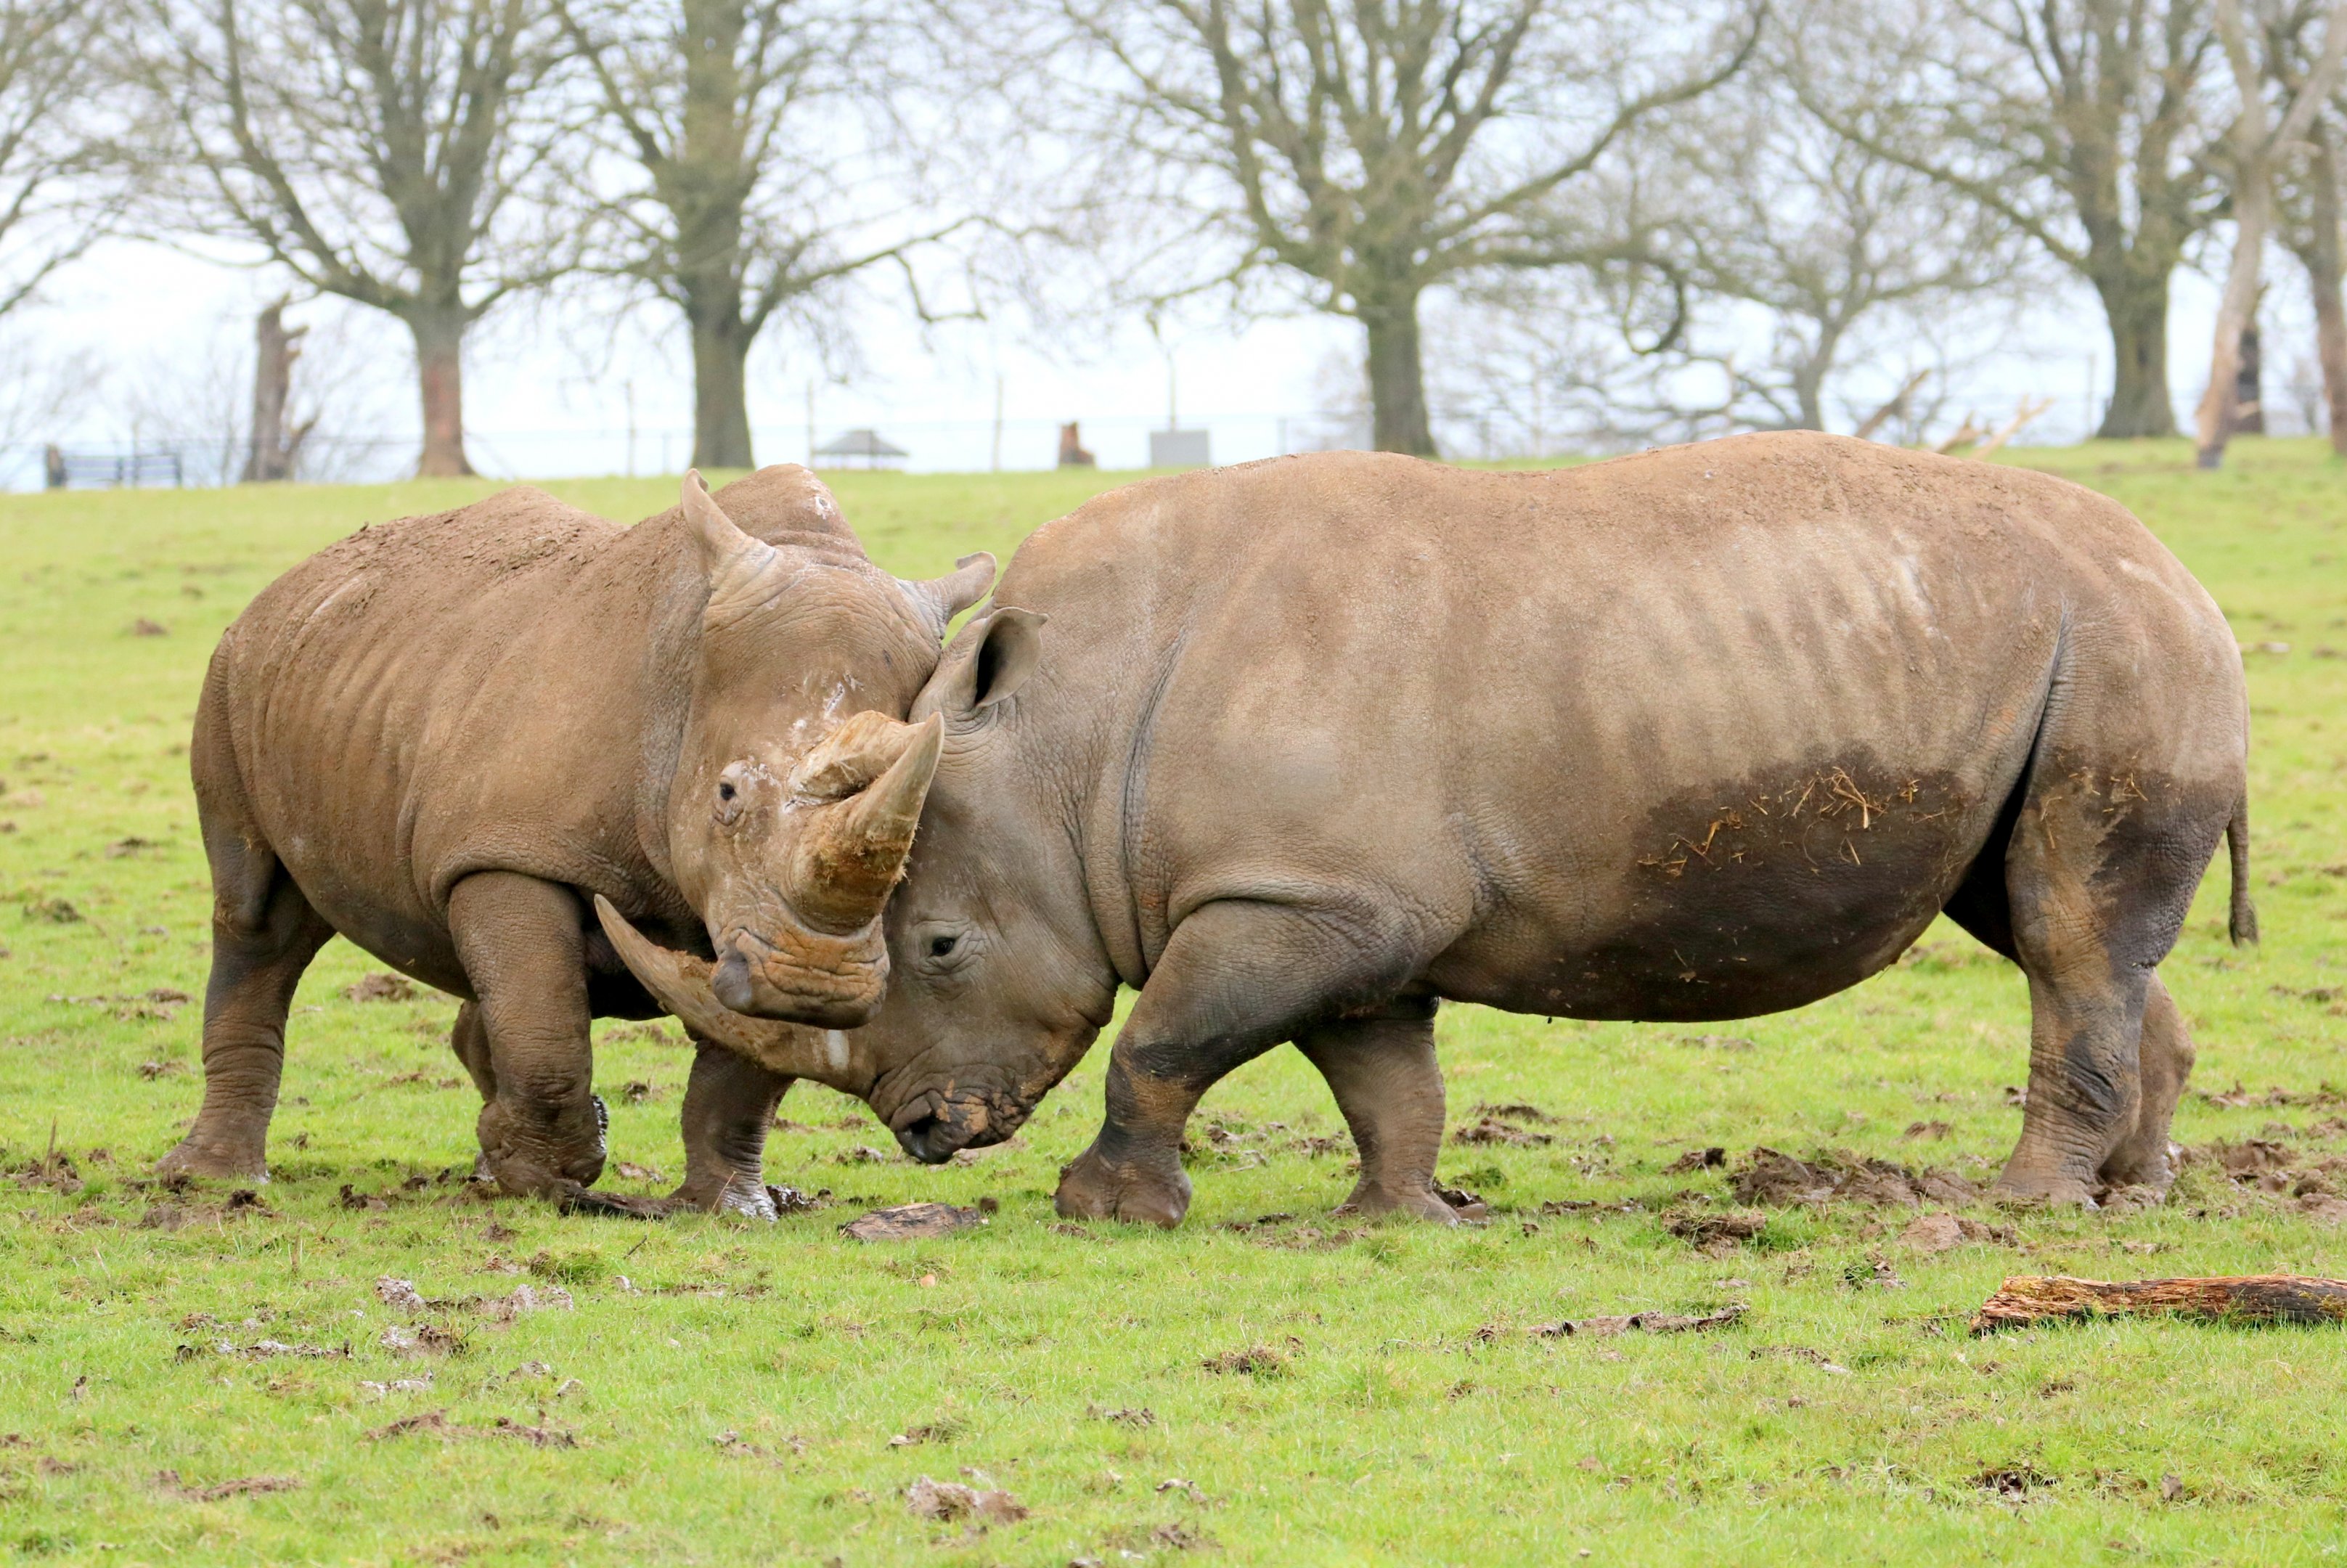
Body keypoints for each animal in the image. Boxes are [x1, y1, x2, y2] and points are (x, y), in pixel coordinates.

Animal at [160, 467, 995, 1213]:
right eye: (726, 797)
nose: (815, 986)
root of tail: (296, 580)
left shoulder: (752, 922)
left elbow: (747, 1054)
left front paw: (726, 1207)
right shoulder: (509, 850)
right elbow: (545, 1028)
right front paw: (545, 1179)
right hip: (234, 669)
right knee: (258, 918)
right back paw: (214, 1181)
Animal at [608, 434, 2254, 1225]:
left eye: (942, 946)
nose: (926, 1134)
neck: (1064, 740)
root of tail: (2190, 581)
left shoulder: (1297, 895)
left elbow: (1163, 1042)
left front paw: (1102, 1211)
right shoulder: (1343, 901)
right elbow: (1379, 1074)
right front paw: (1401, 1215)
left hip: (2114, 648)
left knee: (2063, 931)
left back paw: (2024, 1207)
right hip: (2064, 655)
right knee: (2052, 927)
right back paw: (2131, 1194)